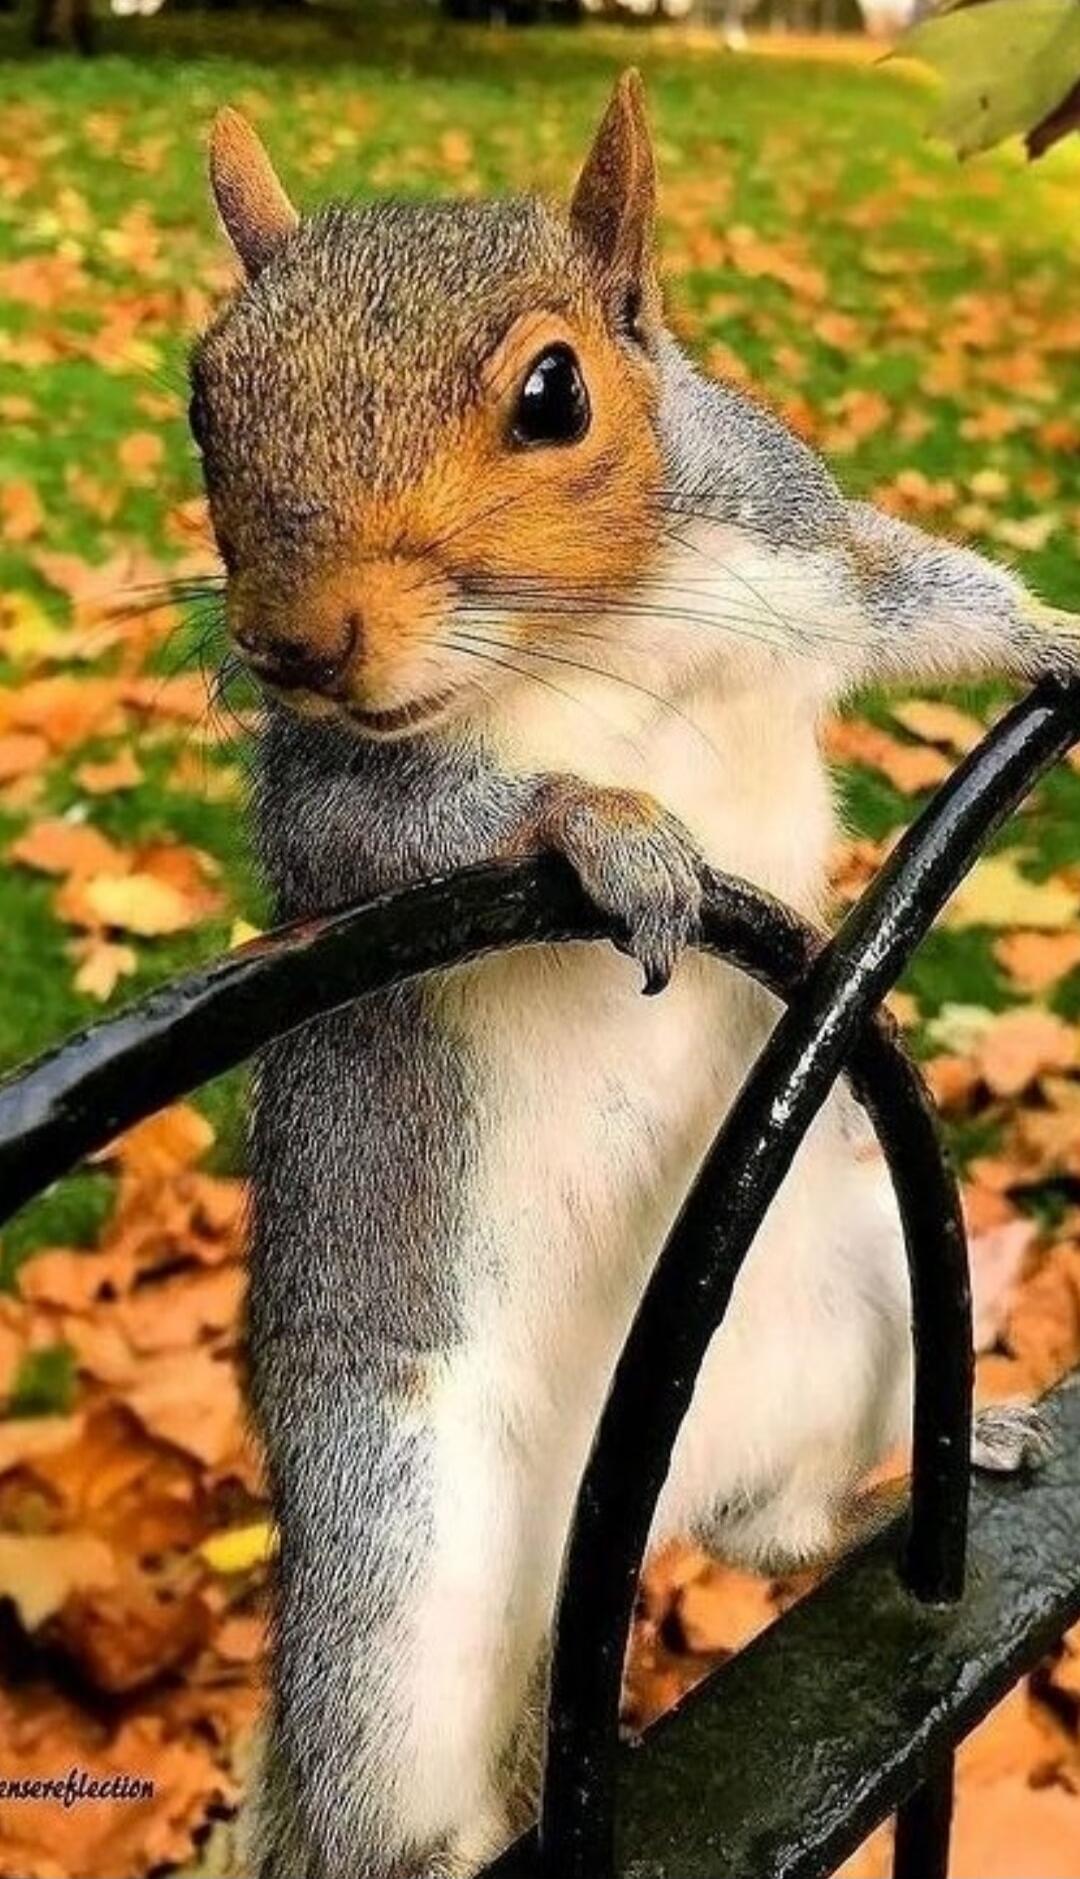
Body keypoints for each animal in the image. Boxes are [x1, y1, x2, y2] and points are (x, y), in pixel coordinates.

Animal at [192, 77, 1077, 1879]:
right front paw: (603, 826)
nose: (295, 641)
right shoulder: (328, 789)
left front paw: (1066, 638)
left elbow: (925, 592)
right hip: (396, 1550)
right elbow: (405, 830)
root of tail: (607, 1543)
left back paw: (933, 1465)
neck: (592, 629)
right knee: (402, 1791)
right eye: (201, 405)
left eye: (555, 391)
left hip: (863, 1301)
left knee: (774, 1536)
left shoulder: (807, 554)